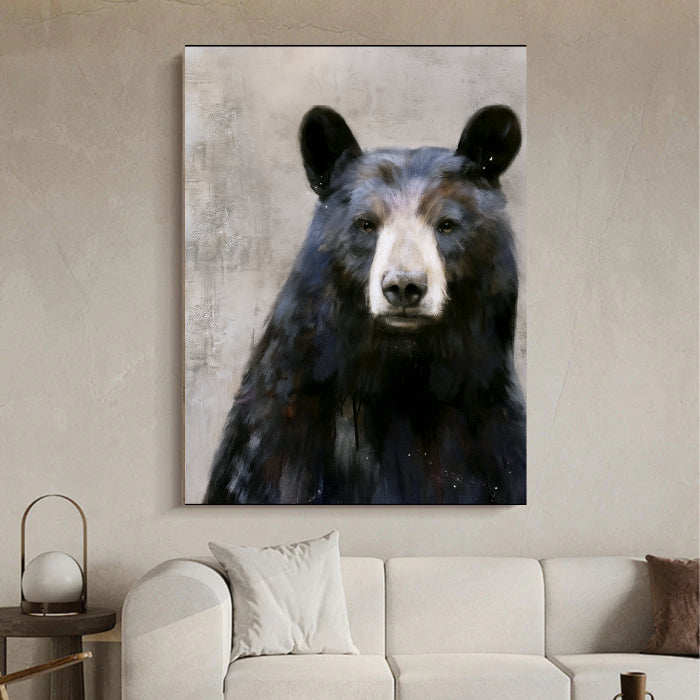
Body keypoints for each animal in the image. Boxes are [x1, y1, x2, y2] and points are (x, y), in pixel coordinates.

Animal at [204, 104, 525, 505]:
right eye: (366, 223)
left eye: (448, 224)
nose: (404, 286)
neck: (400, 374)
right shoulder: (277, 438)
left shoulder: (488, 429)